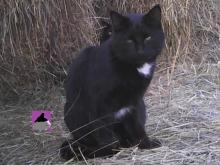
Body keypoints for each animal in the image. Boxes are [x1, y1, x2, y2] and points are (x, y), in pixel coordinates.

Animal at [61, 4, 164, 160]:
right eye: (129, 40)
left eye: (148, 37)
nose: (140, 51)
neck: (133, 67)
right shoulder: (98, 105)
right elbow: (105, 134)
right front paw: (110, 151)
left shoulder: (134, 102)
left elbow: (137, 126)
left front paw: (146, 144)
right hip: (72, 112)